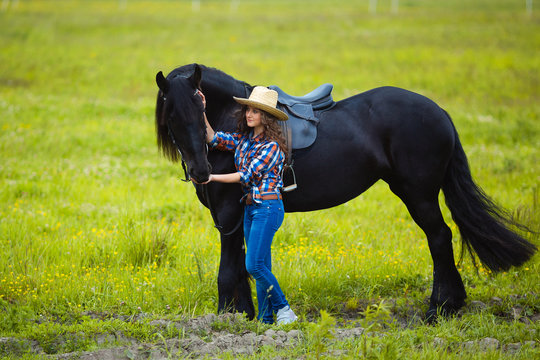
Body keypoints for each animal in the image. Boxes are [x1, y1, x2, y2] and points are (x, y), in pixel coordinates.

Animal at [155, 64, 536, 320]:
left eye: (201, 108)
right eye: (171, 115)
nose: (201, 171)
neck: (234, 122)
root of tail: (438, 110)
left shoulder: (229, 212)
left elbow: (228, 269)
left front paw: (224, 316)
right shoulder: (238, 214)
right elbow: (242, 265)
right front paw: (246, 314)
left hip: (419, 194)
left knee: (440, 238)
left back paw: (438, 308)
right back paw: (452, 304)